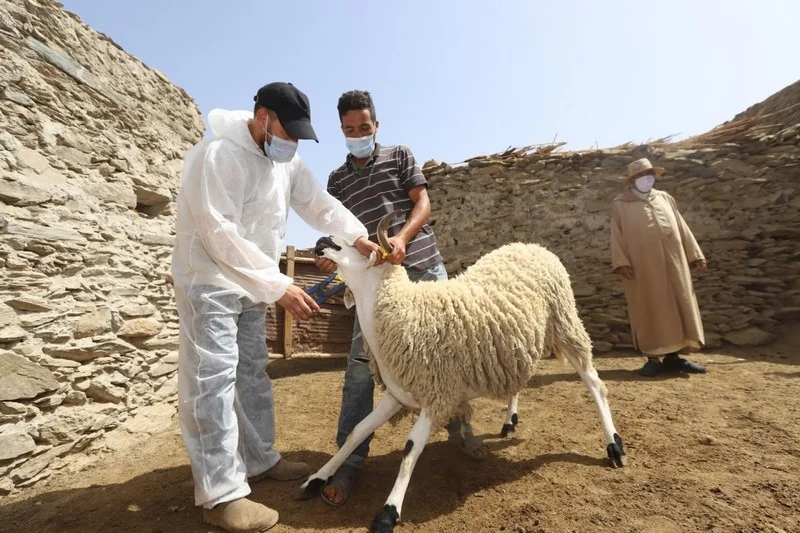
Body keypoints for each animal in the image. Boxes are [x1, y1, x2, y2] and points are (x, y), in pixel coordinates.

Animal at [298, 210, 624, 528]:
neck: (404, 312)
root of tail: (532, 246)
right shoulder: (397, 394)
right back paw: (509, 422)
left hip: (566, 323)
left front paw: (389, 511)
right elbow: (357, 431)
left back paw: (614, 446)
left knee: (594, 384)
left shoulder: (437, 395)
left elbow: (410, 447)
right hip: (517, 344)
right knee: (519, 381)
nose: (323, 240)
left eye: (363, 246)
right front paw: (317, 478)